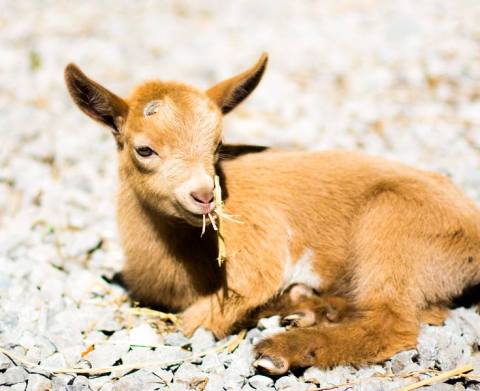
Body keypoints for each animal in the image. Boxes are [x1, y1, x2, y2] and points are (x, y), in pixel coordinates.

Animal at [63, 56, 480, 376]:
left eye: (218, 146)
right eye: (144, 149)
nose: (205, 196)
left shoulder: (256, 236)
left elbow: (206, 314)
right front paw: (297, 303)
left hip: (393, 223)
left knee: (394, 321)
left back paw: (282, 349)